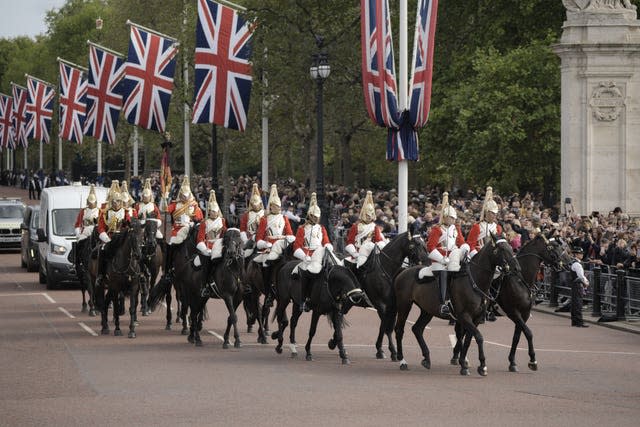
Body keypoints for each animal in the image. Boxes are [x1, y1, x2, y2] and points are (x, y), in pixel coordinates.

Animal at [352, 232, 428, 362]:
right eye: (415, 245)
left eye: (424, 244)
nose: (427, 263)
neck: (385, 270)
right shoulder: (380, 304)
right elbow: (386, 327)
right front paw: (391, 351)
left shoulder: (393, 306)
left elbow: (387, 326)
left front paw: (382, 350)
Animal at [392, 234, 524, 378]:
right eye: (502, 249)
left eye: (510, 247)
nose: (517, 269)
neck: (474, 282)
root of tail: (404, 271)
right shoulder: (464, 316)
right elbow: (478, 337)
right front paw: (481, 366)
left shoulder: (476, 319)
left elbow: (468, 339)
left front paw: (463, 364)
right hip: (404, 306)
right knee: (399, 330)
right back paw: (402, 361)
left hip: (427, 311)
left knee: (417, 329)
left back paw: (426, 358)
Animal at [492, 236, 564, 372]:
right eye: (553, 246)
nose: (567, 263)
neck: (520, 279)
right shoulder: (513, 312)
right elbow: (529, 333)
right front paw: (532, 360)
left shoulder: (524, 314)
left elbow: (517, 336)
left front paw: (512, 362)